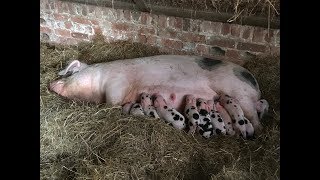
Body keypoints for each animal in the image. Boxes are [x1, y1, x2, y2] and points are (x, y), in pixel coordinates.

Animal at [50, 54, 268, 134]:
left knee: (256, 121)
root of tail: (255, 83)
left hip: (239, 93)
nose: (52, 83)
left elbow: (112, 102)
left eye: (70, 73)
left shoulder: (116, 83)